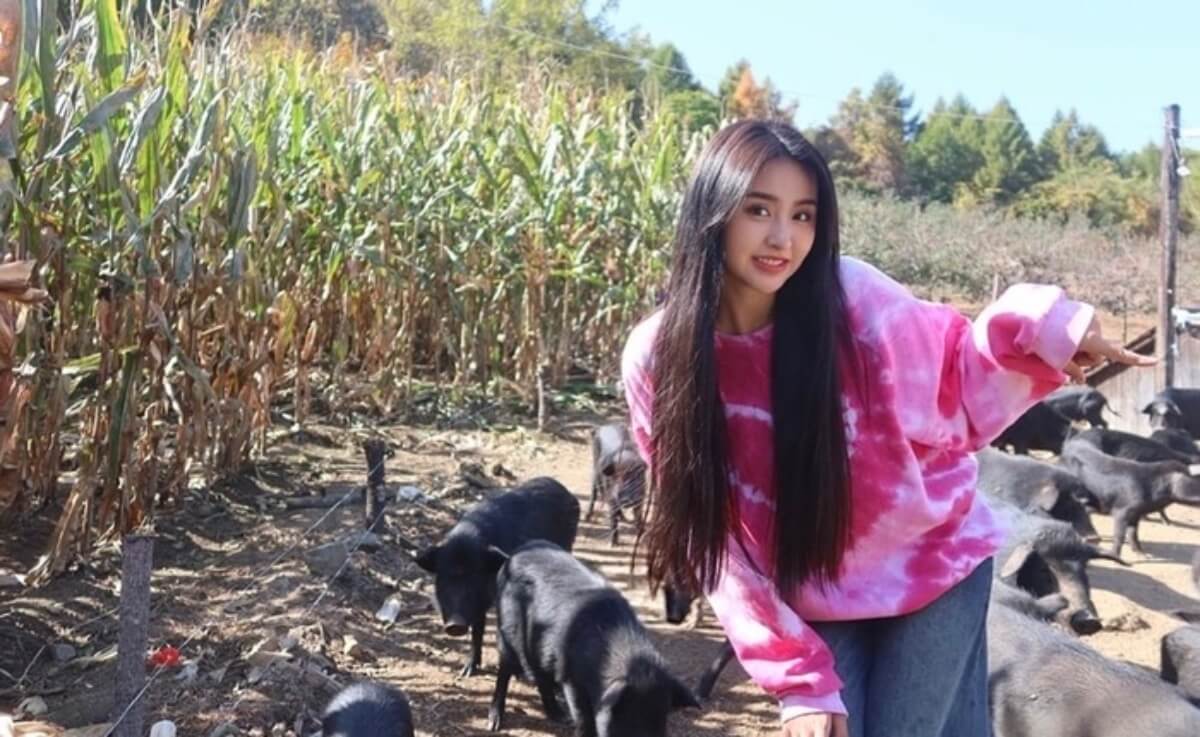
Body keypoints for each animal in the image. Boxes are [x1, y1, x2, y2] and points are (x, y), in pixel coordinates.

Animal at [415, 476, 580, 677]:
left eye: (475, 575)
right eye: (444, 576)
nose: (455, 624)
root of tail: (562, 488)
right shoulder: (478, 606)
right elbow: (478, 630)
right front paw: (466, 672)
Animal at [488, 541, 699, 735]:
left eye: (661, 721)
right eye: (627, 717)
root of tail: (510, 557)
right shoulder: (571, 677)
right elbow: (583, 717)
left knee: (541, 677)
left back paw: (559, 716)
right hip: (507, 630)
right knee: (505, 669)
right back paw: (494, 724)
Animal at [1060, 439, 1200, 556]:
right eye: (1192, 478)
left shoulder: (1136, 513)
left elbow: (1133, 533)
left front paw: (1142, 554)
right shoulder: (1122, 510)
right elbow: (1119, 534)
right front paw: (1114, 555)